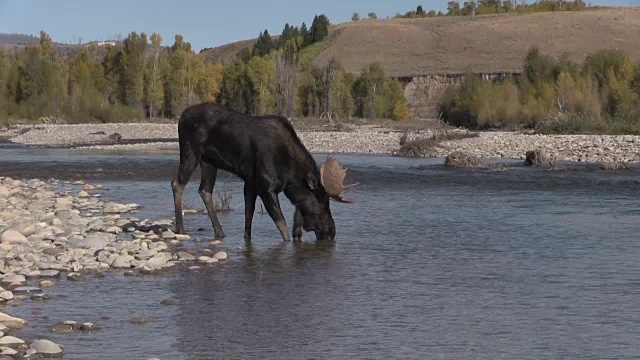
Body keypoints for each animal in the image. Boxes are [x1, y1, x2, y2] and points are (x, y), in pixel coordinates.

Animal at [172, 101, 358, 242]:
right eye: (323, 203)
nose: (331, 232)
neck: (289, 173)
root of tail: (181, 116)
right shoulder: (266, 187)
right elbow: (281, 223)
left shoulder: (250, 183)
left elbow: (249, 218)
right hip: (190, 152)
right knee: (177, 183)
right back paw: (180, 228)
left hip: (209, 162)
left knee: (205, 190)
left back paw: (219, 232)